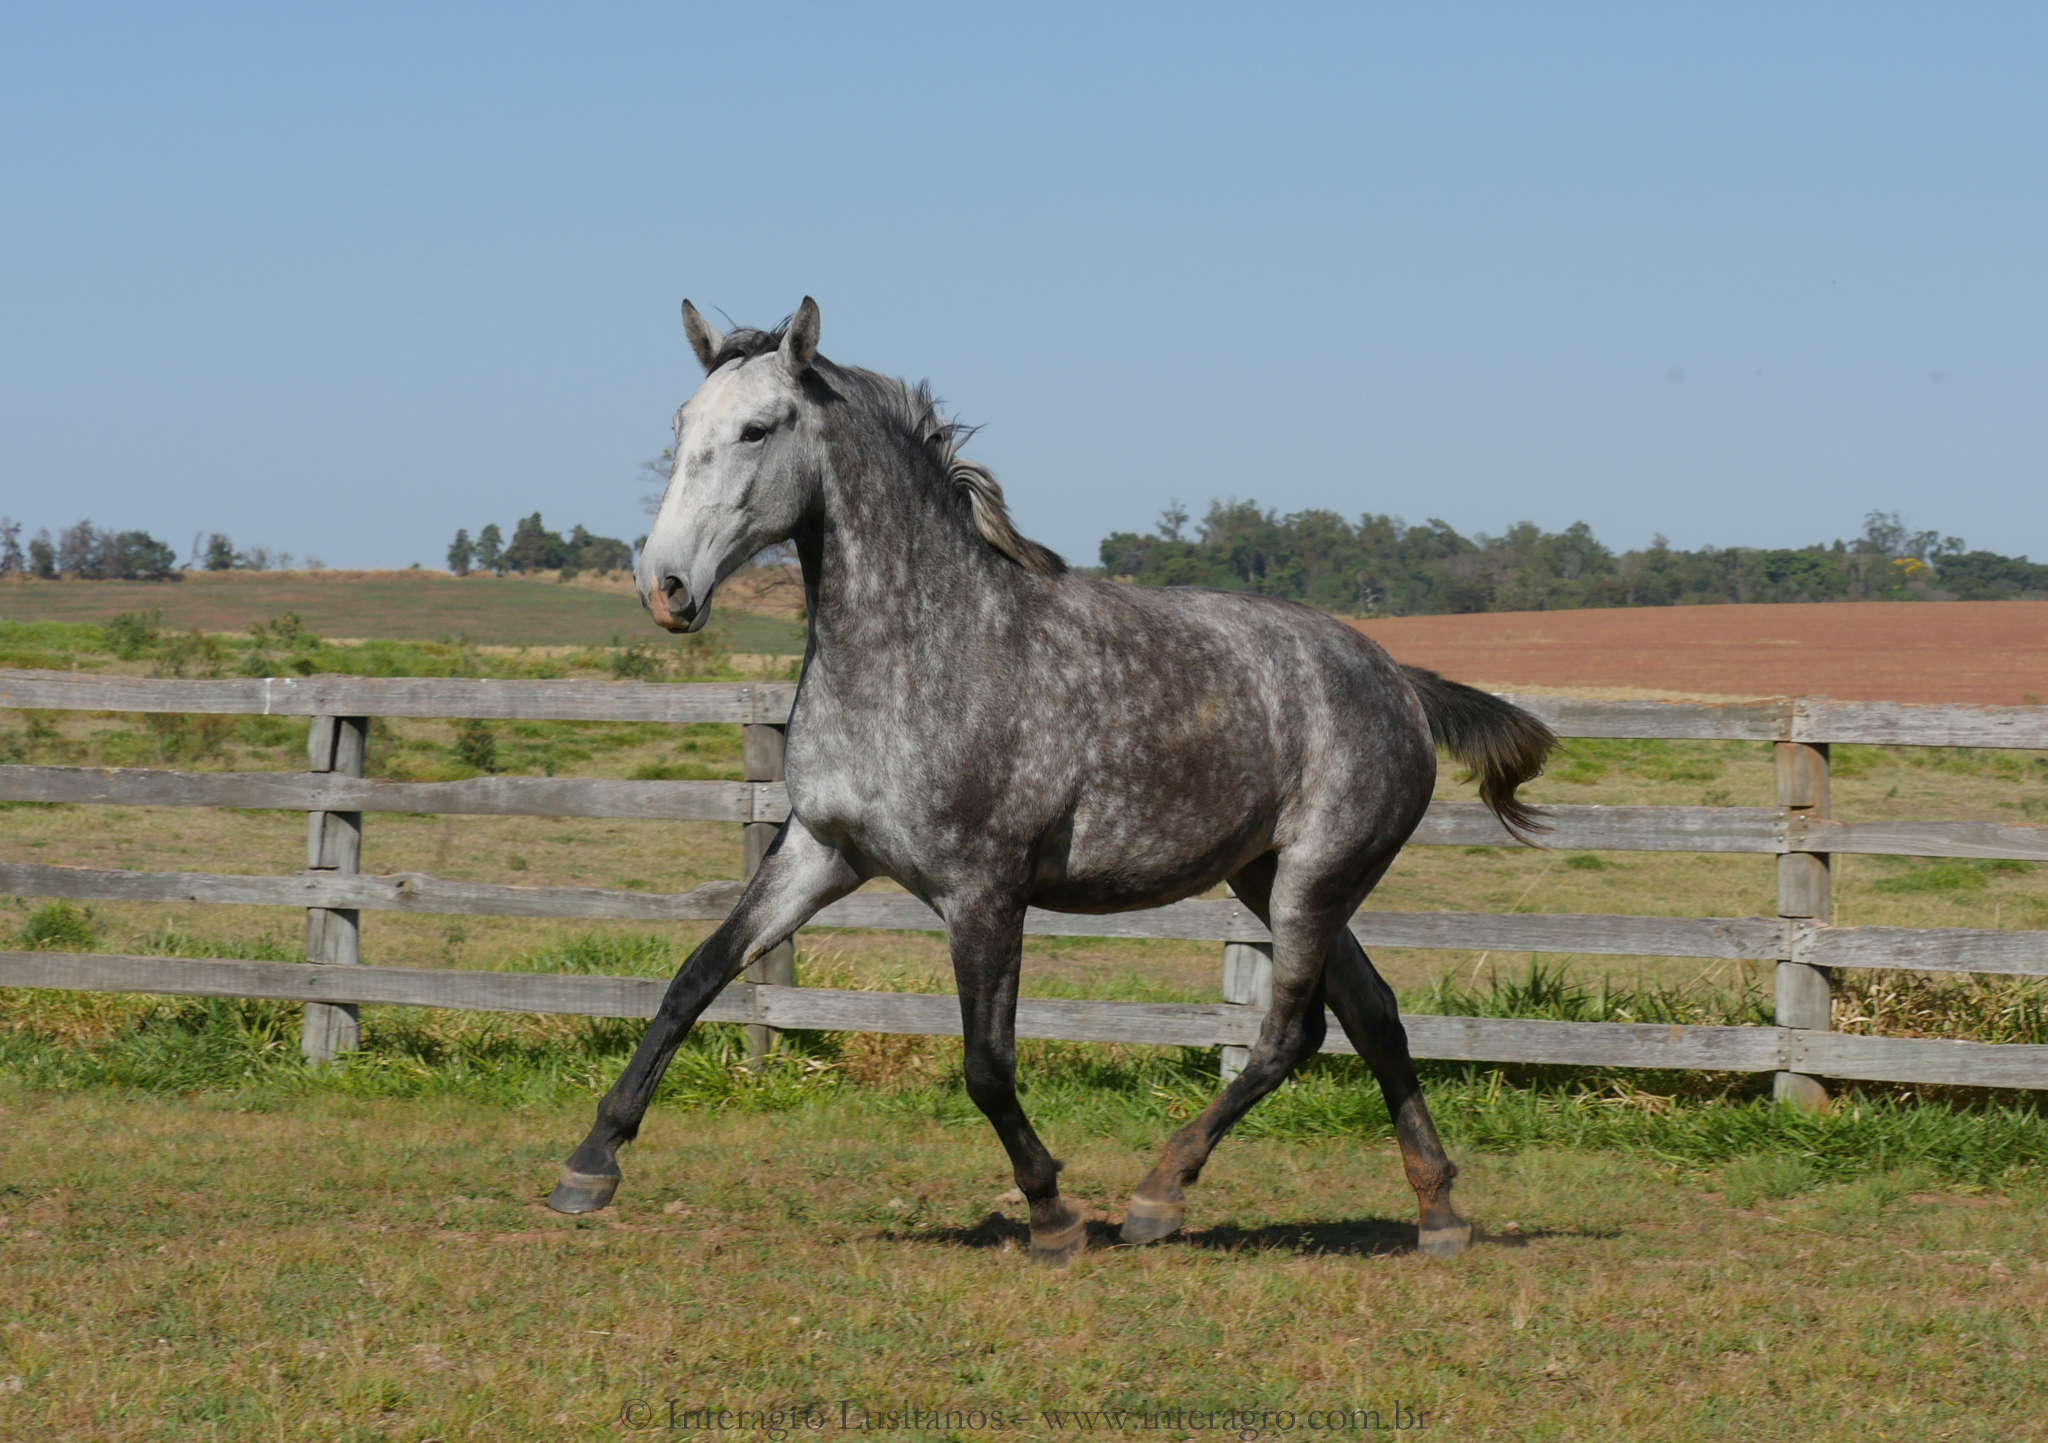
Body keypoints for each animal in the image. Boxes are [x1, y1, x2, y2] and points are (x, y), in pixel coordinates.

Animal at [546, 297, 1555, 1263]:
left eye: (758, 429)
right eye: (682, 422)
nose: (666, 587)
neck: (921, 652)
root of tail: (1399, 680)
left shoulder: (985, 890)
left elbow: (987, 1064)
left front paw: (1054, 1216)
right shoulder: (821, 851)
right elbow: (694, 978)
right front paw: (589, 1165)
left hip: (1314, 877)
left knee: (1287, 1034)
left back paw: (1158, 1195)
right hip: (1269, 877)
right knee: (1373, 1016)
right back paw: (1437, 1212)